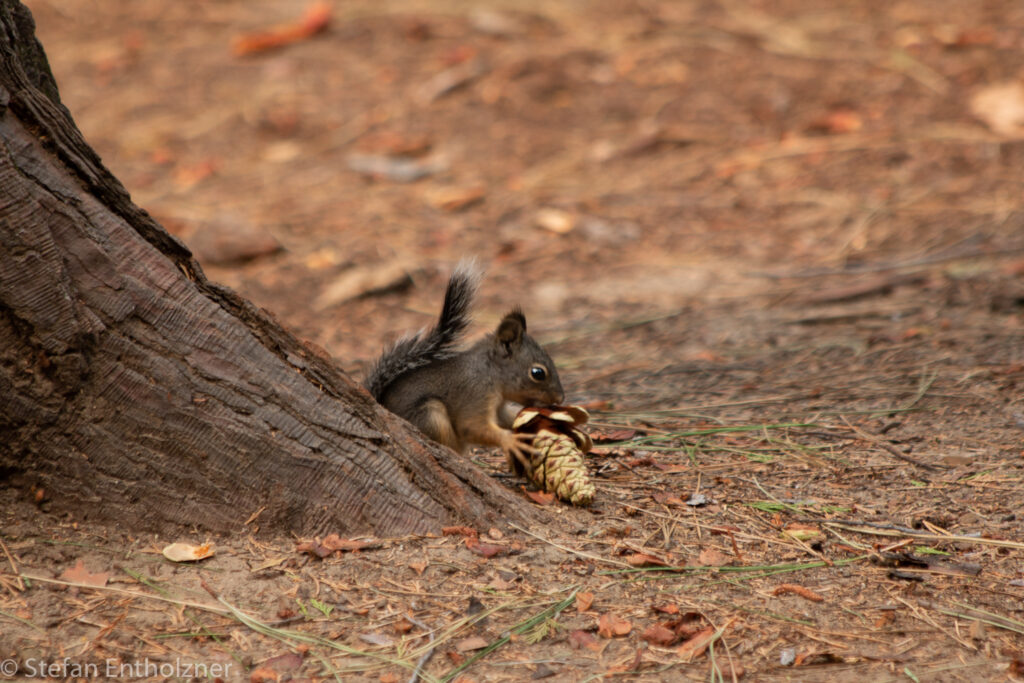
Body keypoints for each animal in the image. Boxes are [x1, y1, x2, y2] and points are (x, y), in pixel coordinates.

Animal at [364, 262, 565, 475]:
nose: (560, 399)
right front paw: (511, 440)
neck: (488, 372)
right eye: (538, 373)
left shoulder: (498, 406)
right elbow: (471, 426)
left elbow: (505, 417)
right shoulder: (474, 393)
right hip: (430, 414)